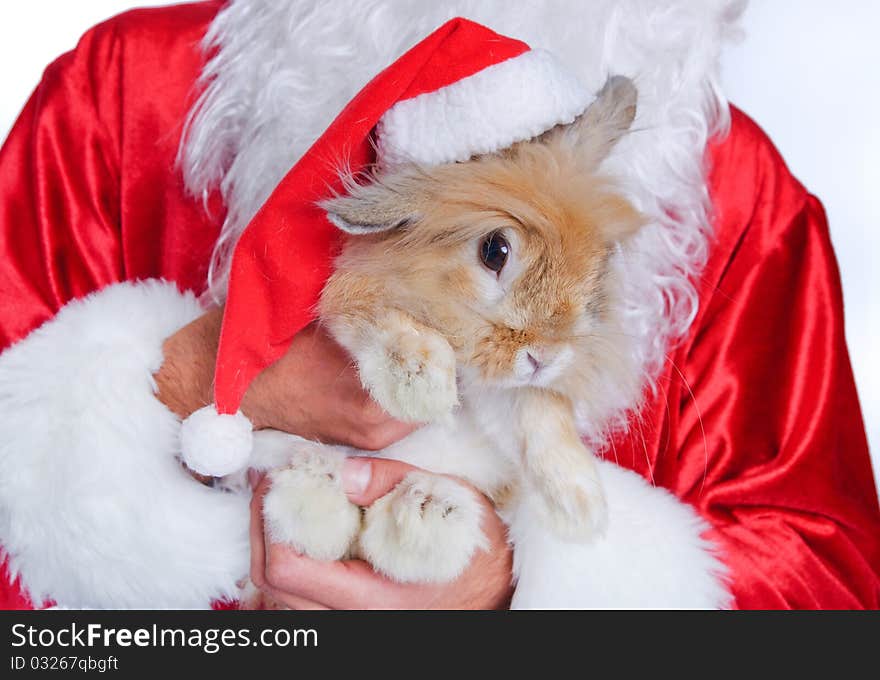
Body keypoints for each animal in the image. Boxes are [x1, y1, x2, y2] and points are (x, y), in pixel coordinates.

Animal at [249, 73, 648, 584]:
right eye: (495, 251)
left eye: (600, 262)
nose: (546, 357)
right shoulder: (353, 296)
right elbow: (387, 324)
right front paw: (423, 390)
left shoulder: (509, 394)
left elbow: (543, 409)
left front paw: (579, 507)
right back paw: (313, 483)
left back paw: (426, 512)